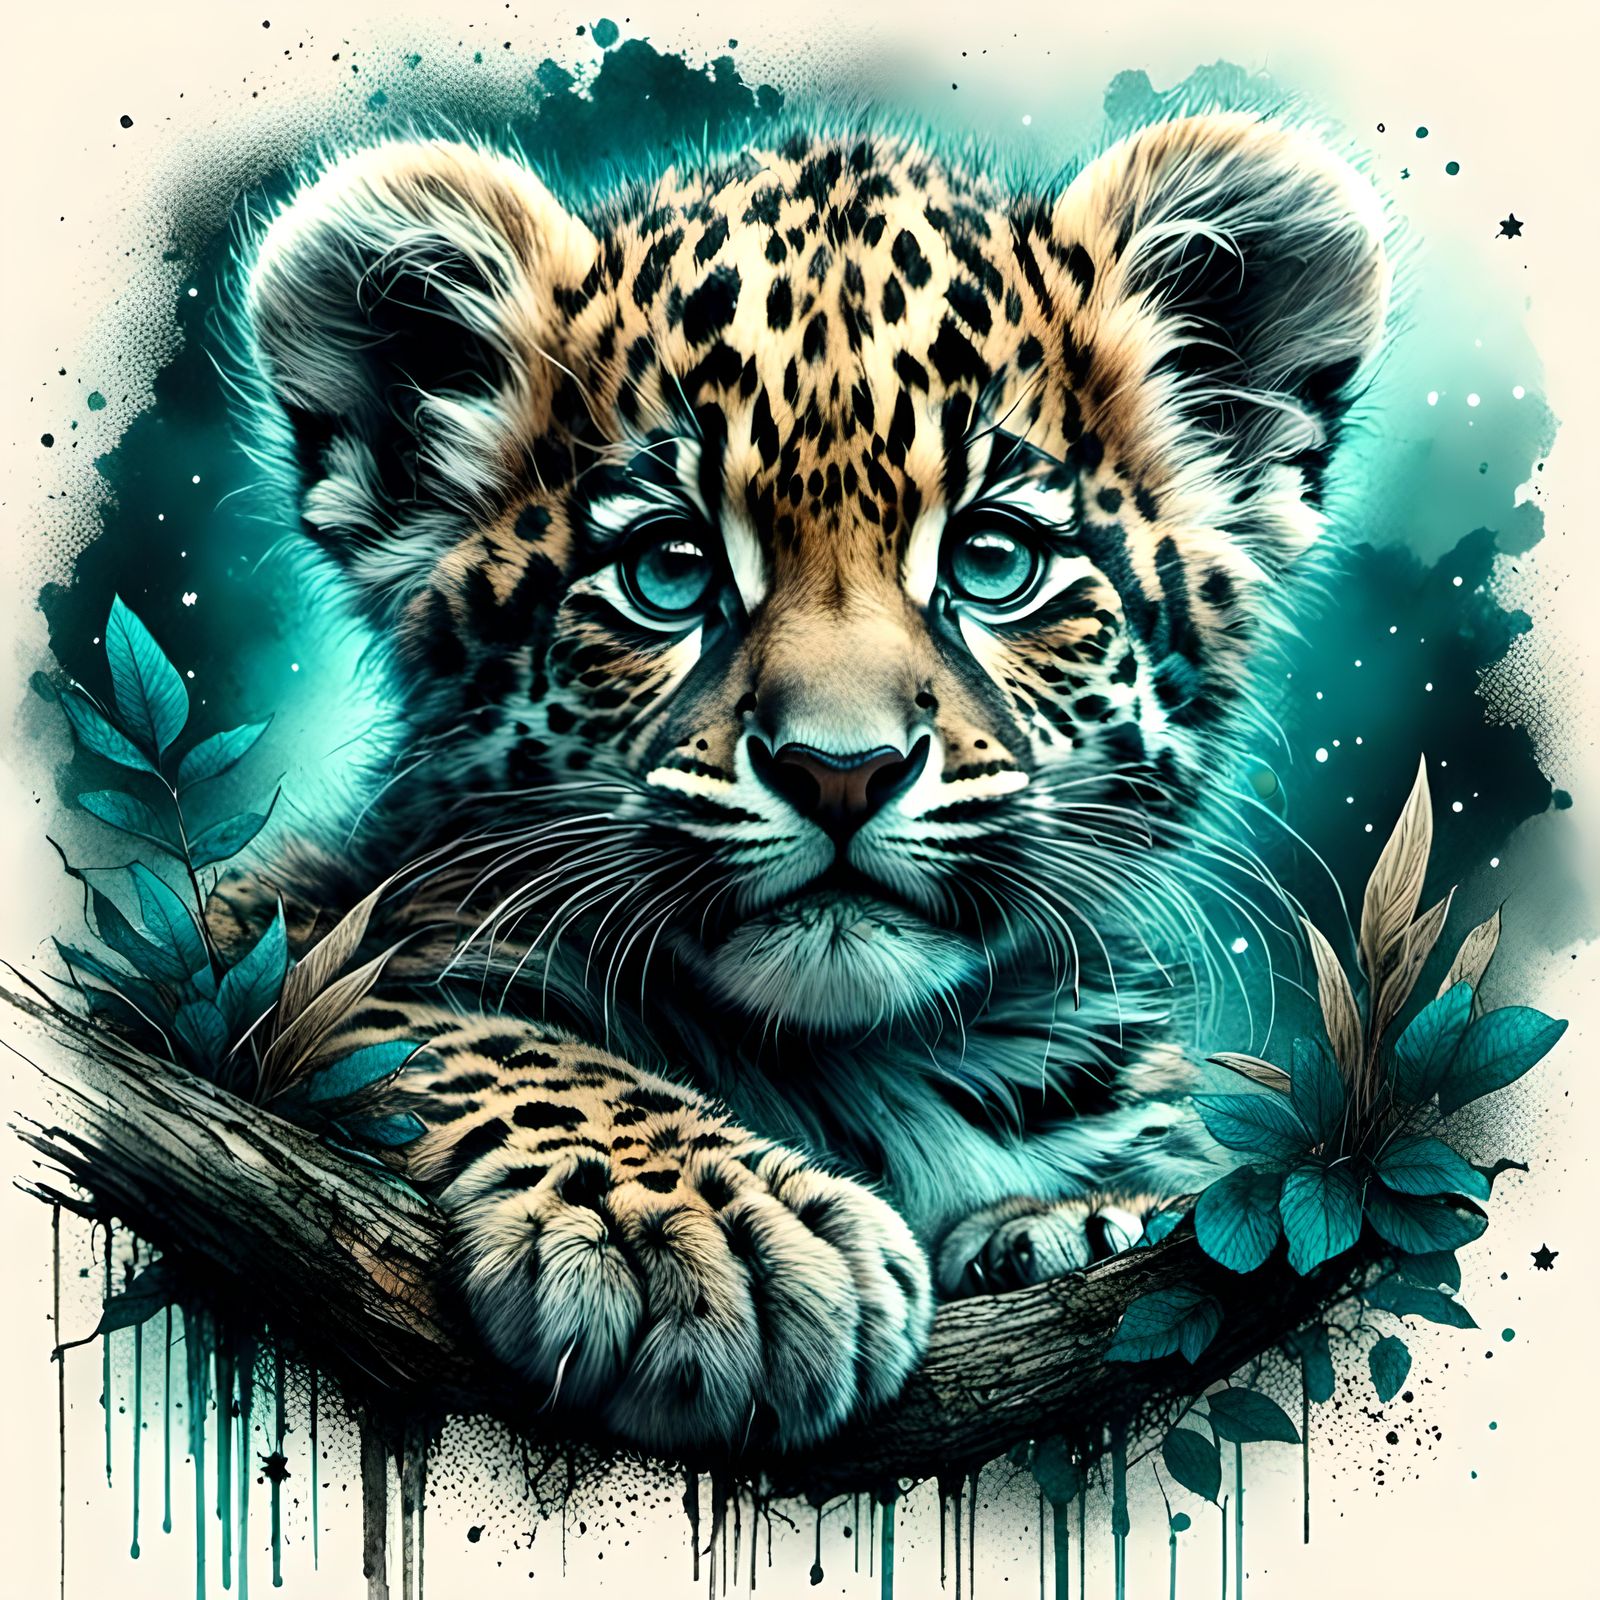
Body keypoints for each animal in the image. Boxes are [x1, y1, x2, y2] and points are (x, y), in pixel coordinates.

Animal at [230, 108, 1390, 1453]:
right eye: (670, 568)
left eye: (992, 560)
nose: (843, 770)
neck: (864, 1074)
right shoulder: (259, 927)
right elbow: (440, 1023)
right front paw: (702, 1233)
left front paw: (1083, 1216)